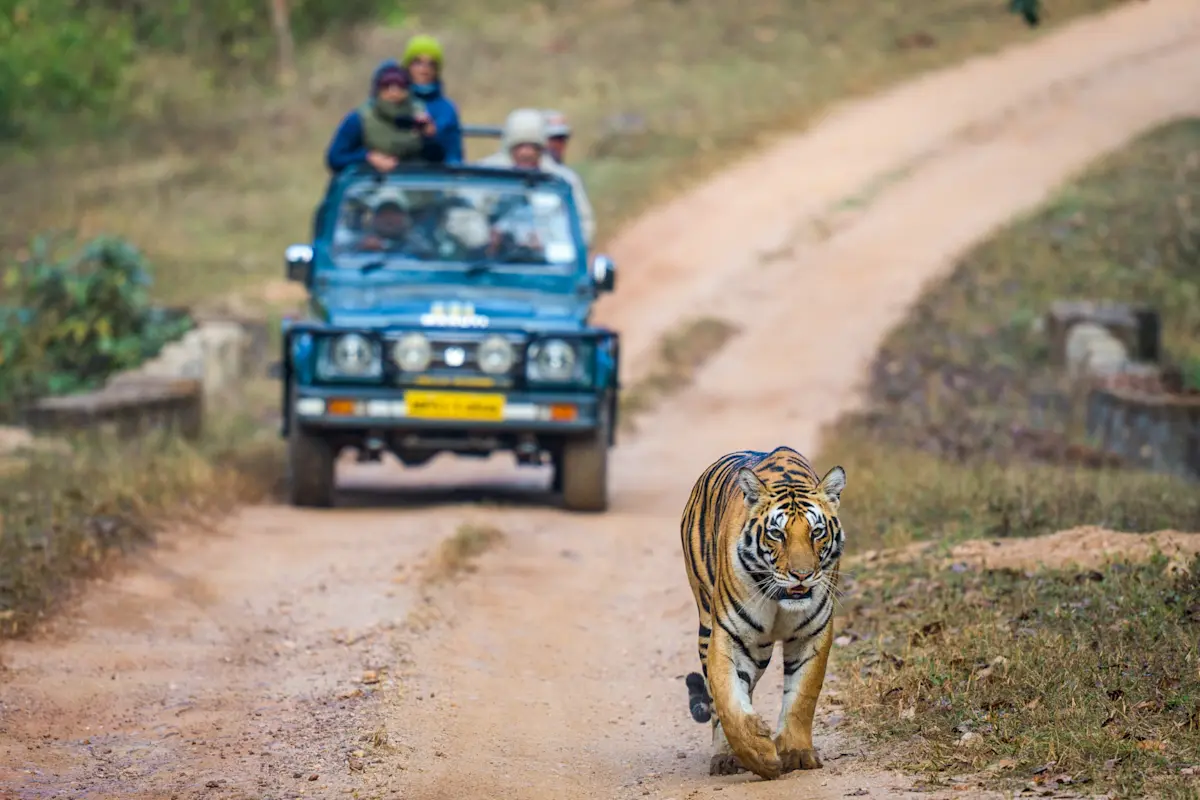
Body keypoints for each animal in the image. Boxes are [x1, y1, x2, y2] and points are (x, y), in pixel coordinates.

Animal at [679, 446, 846, 780]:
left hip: (760, 652)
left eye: (817, 532)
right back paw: (725, 757)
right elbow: (727, 699)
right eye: (777, 534)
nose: (801, 575)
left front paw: (796, 753)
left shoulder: (813, 634)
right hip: (710, 625)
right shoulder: (729, 636)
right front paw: (759, 754)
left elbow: (802, 696)